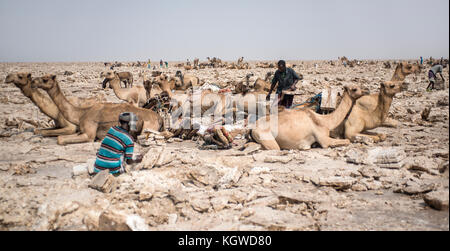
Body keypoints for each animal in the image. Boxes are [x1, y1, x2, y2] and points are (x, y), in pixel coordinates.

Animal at [31, 74, 163, 145]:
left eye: (45, 79)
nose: (33, 81)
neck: (80, 114)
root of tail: (159, 118)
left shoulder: (89, 134)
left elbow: (60, 139)